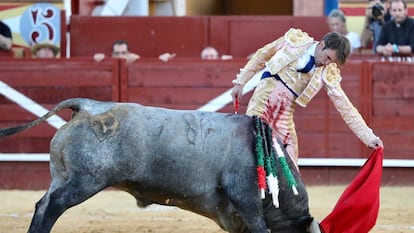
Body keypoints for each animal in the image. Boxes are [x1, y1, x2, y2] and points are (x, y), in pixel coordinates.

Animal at [0, 98, 320, 233]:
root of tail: (88, 106)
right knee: (52, 207)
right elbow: (260, 226)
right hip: (85, 181)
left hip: (62, 176)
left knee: (42, 204)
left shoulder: (234, 215)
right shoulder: (246, 199)